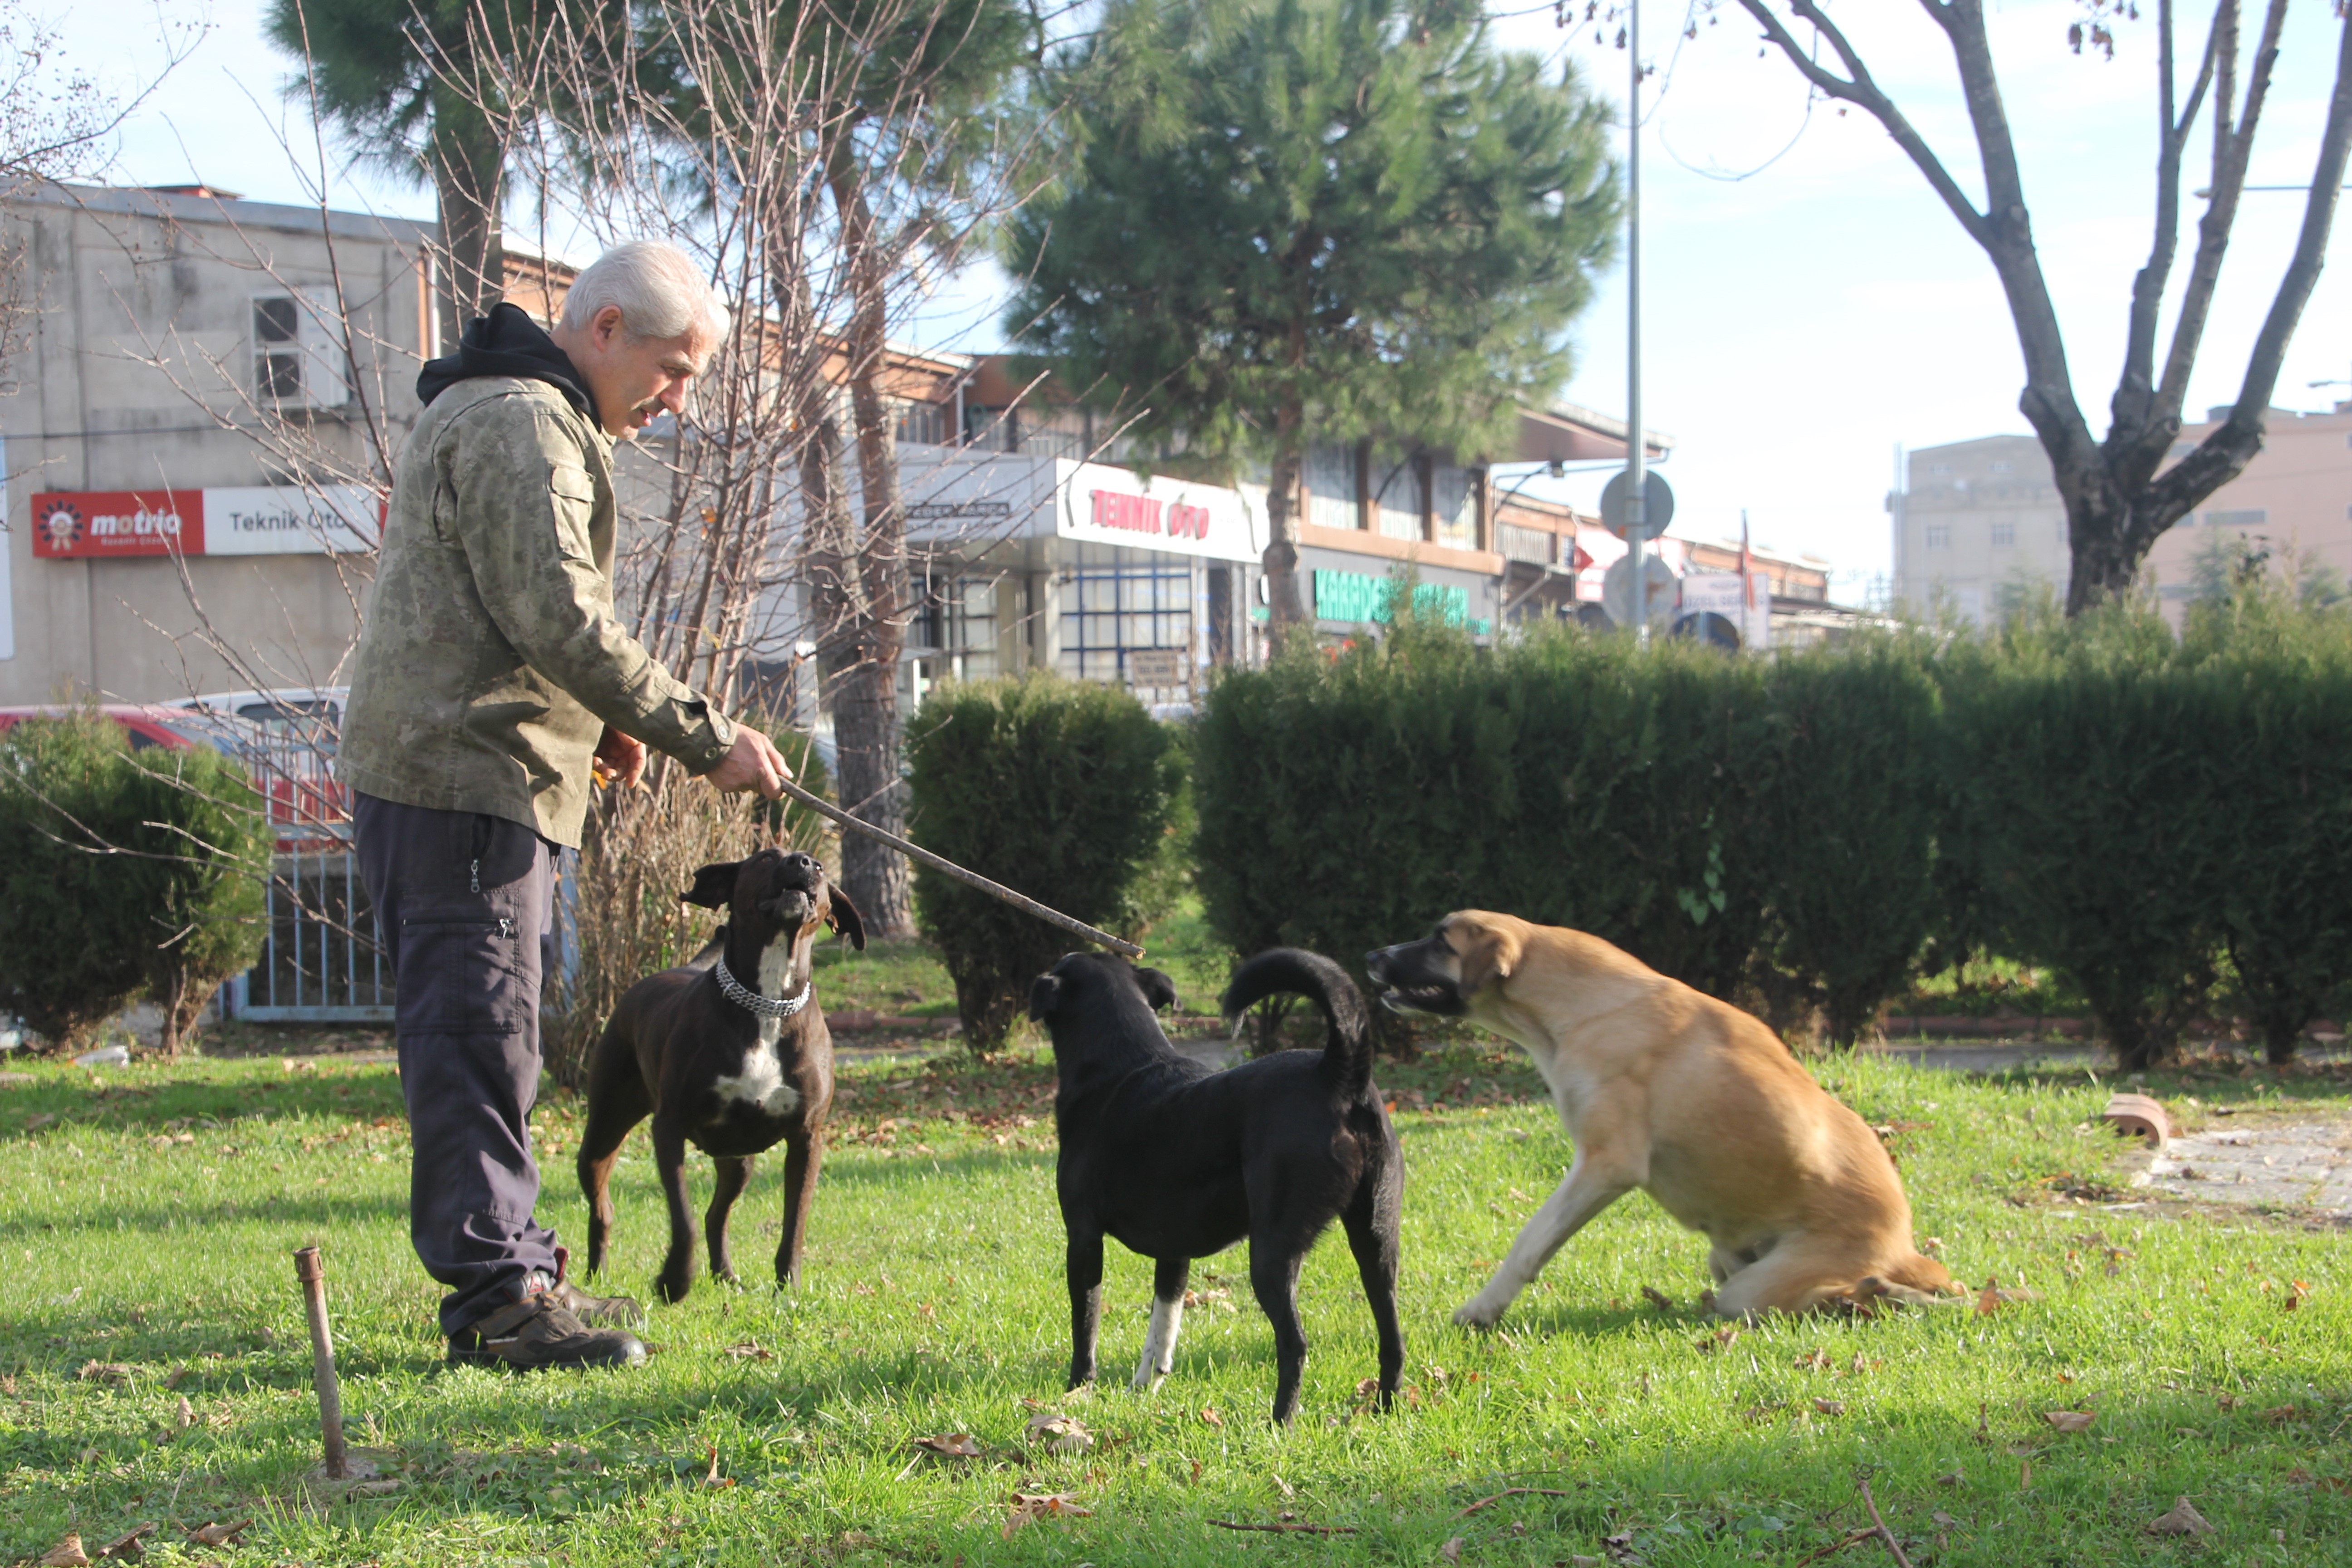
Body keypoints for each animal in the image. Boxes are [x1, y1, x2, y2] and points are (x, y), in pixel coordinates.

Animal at [573, 851, 870, 1307]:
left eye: (820, 867)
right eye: (765, 857)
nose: (804, 862)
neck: (767, 1000)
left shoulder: (807, 1139)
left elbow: (794, 1225)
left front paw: (788, 1289)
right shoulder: (669, 1128)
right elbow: (683, 1217)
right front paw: (675, 1280)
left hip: (738, 1161)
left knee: (718, 1214)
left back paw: (726, 1276)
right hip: (604, 1129)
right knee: (603, 1207)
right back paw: (597, 1274)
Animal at [1025, 945, 1392, 1420]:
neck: (1119, 1065)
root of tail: (1337, 1070)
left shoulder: (1084, 1239)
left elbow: (1085, 1322)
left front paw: (1077, 1389)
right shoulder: (1173, 1249)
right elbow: (1163, 1323)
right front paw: (1145, 1386)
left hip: (1272, 1252)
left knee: (1294, 1343)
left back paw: (1280, 1422)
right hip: (1376, 1239)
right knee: (1392, 1334)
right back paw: (1387, 1406)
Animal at [1364, 907, 1947, 1326]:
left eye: (1441, 941)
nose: (1371, 953)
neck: (1581, 1005)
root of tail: (1902, 1246)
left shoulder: (1605, 1164)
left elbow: (1529, 1243)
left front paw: (1483, 1309)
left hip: (1761, 1285)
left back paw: (1887, 1294)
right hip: (1732, 1261)